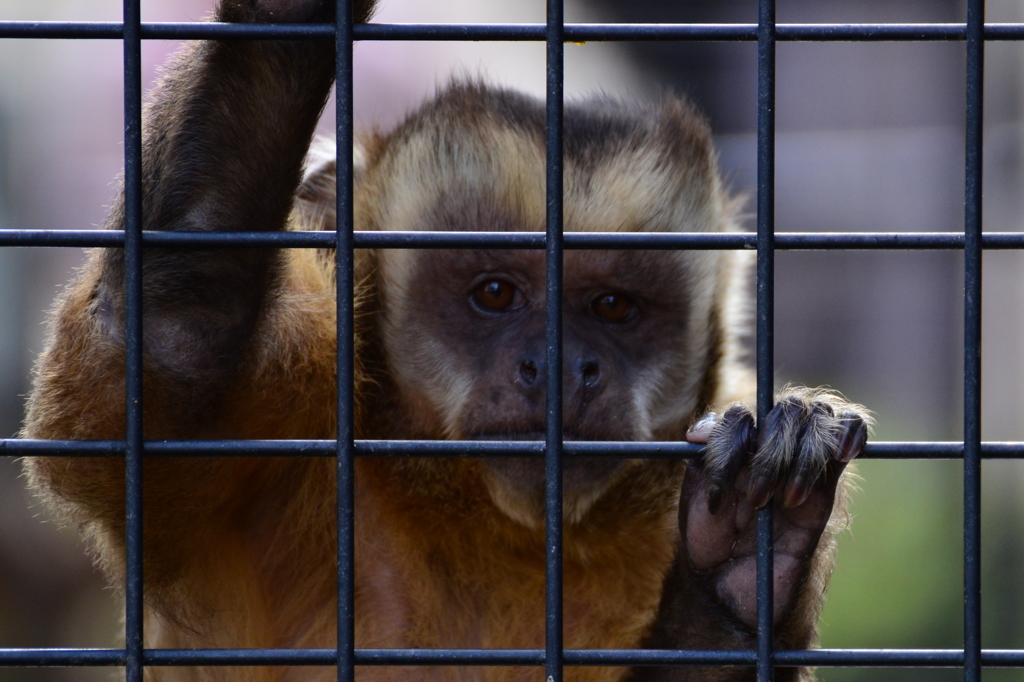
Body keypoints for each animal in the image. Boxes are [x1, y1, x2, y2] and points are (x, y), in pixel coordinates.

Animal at [24, 1, 868, 679]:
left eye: (613, 307)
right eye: (495, 294)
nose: (560, 365)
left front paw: (740, 564)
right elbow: (173, 341)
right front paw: (288, 15)